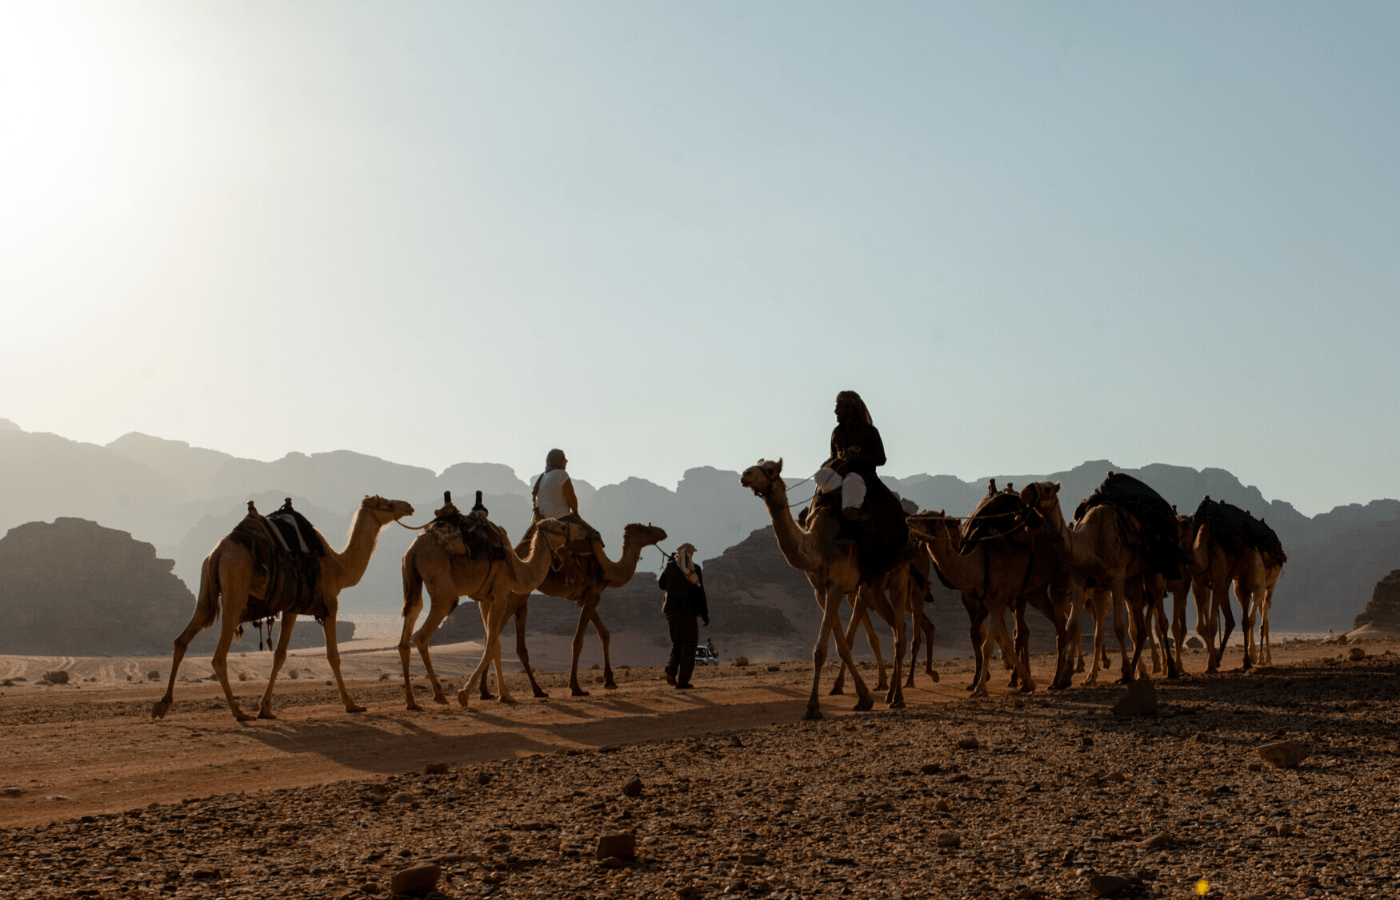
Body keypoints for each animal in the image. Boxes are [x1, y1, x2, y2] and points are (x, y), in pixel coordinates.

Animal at [154, 495, 414, 722]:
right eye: (387, 503)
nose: (408, 506)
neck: (339, 567)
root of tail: (218, 552)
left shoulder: (292, 608)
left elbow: (279, 654)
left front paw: (265, 708)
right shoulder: (330, 605)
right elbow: (333, 655)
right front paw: (352, 704)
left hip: (206, 586)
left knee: (182, 639)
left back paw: (163, 705)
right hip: (235, 593)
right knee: (218, 656)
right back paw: (239, 712)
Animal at [397, 515, 571, 711]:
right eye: (560, 527)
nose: (570, 528)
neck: (517, 569)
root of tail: (413, 550)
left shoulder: (485, 600)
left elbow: (495, 645)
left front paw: (505, 695)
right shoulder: (501, 595)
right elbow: (491, 645)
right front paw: (464, 694)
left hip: (412, 578)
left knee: (409, 624)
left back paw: (411, 702)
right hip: (438, 575)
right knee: (423, 633)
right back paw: (440, 695)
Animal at [498, 517, 666, 699]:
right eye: (647, 530)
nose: (663, 532)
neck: (610, 569)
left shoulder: (584, 598)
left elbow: (604, 634)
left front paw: (610, 680)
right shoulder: (594, 594)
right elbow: (578, 641)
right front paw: (576, 687)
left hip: (521, 596)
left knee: (516, 642)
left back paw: (533, 690)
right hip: (513, 595)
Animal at [739, 461, 868, 722]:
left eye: (770, 469)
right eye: (757, 465)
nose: (745, 475)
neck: (817, 546)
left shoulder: (836, 585)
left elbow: (820, 649)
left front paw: (812, 706)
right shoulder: (822, 591)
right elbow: (841, 646)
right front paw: (862, 697)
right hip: (862, 587)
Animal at [1019, 487, 1181, 683]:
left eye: (1047, 488)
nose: (1025, 494)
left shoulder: (1115, 578)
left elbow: (1118, 628)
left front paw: (1122, 670)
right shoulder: (1092, 585)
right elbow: (1087, 631)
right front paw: (1082, 676)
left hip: (1153, 572)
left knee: (1160, 620)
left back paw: (1169, 668)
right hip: (1132, 579)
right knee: (1138, 628)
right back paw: (1138, 670)